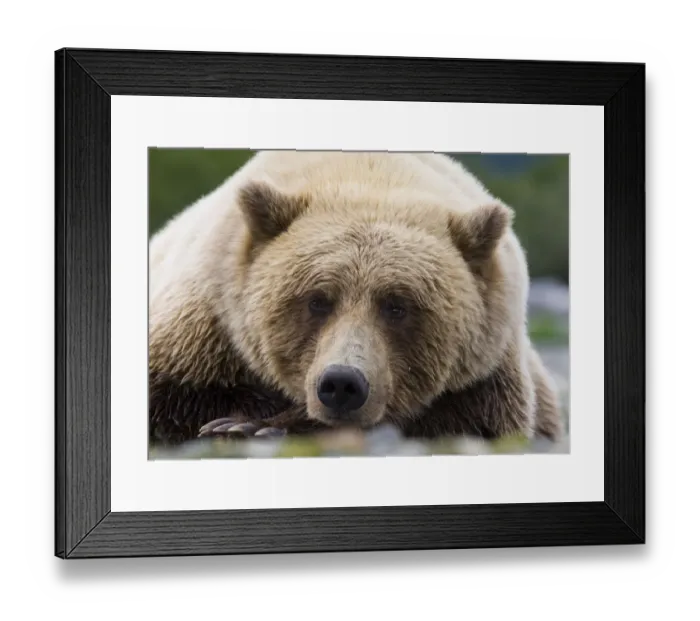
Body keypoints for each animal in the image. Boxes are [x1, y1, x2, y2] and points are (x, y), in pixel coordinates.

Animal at [148, 150, 563, 446]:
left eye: (397, 305)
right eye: (317, 300)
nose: (342, 385)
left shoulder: (487, 376)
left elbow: (465, 420)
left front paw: (252, 426)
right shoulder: (207, 325)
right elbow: (170, 395)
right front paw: (236, 423)